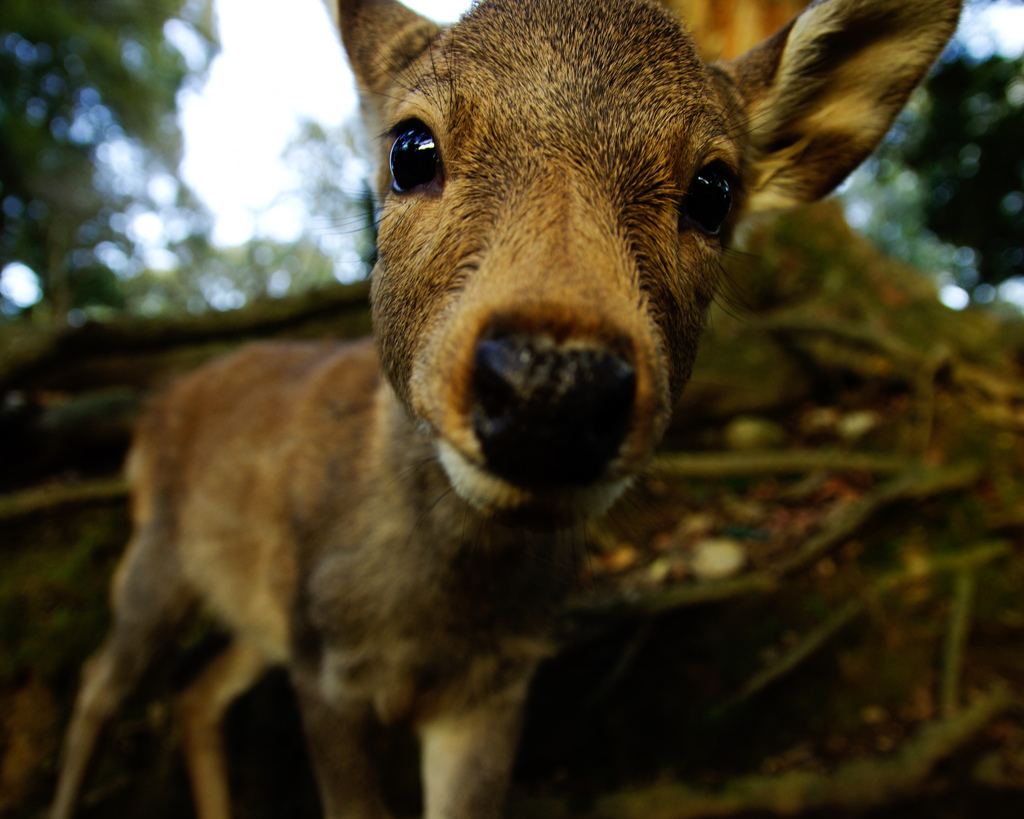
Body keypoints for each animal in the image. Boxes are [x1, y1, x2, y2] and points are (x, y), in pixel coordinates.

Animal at [51, 1, 962, 818]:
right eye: (410, 146)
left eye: (715, 187)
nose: (550, 386)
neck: (433, 621)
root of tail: (155, 408)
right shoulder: (326, 665)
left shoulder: (496, 684)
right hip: (159, 553)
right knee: (100, 679)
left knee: (196, 693)